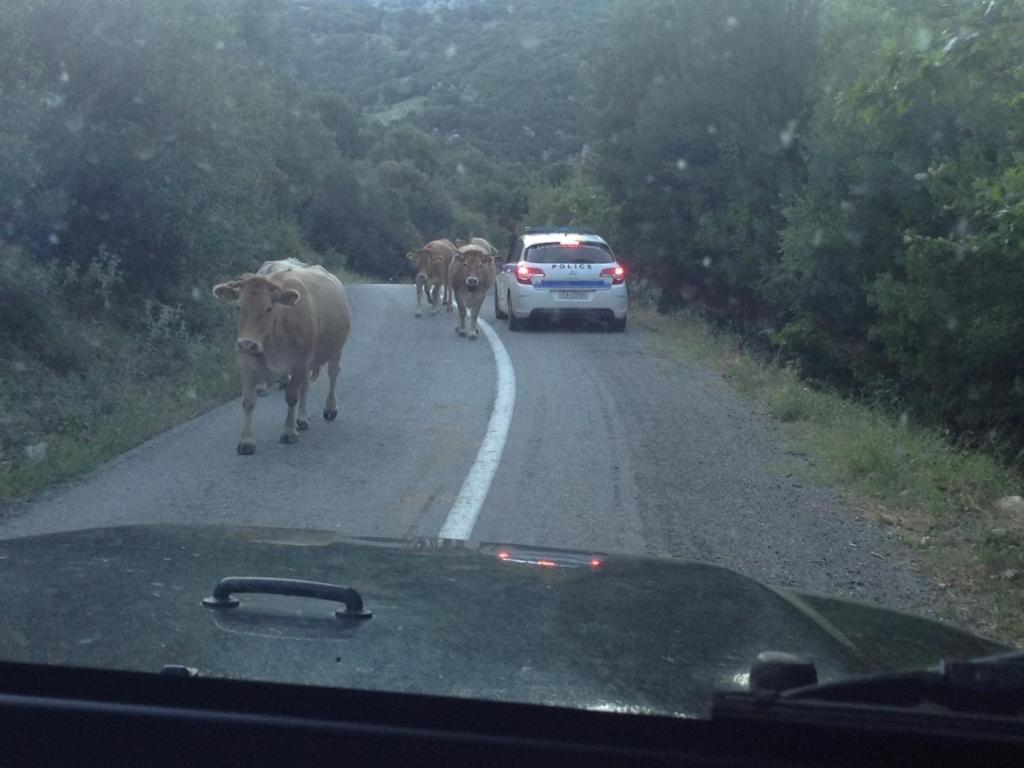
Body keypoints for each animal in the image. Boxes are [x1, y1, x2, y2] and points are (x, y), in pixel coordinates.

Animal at [209, 266, 350, 456]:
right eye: (238, 307)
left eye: (268, 308)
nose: (247, 344)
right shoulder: (246, 362)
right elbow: (248, 401)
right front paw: (246, 441)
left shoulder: (299, 362)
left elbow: (291, 397)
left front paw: (289, 432)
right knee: (306, 387)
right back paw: (302, 418)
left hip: (335, 350)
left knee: (333, 375)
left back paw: (330, 408)